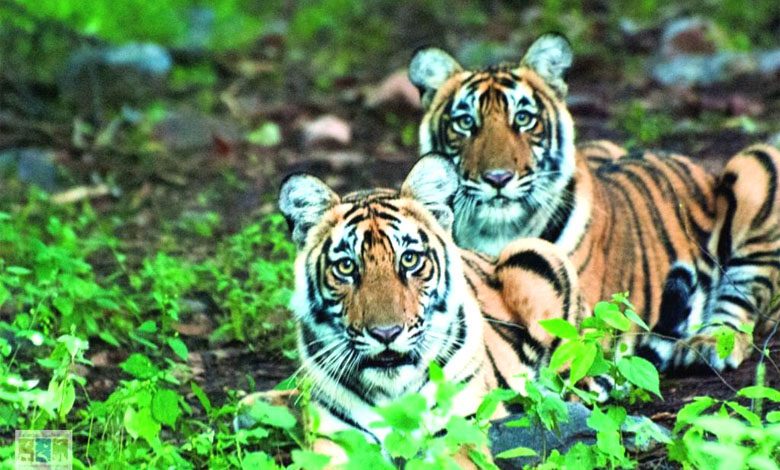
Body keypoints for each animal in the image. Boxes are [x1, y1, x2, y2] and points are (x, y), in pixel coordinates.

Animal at [264, 158, 588, 466]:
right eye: (346, 266)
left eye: (409, 259)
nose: (386, 334)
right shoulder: (335, 440)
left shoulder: (458, 431)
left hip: (534, 253)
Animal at [407, 32, 780, 372]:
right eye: (465, 122)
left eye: (524, 119)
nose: (498, 178)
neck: (493, 233)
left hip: (758, 163)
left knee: (744, 299)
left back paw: (710, 343)